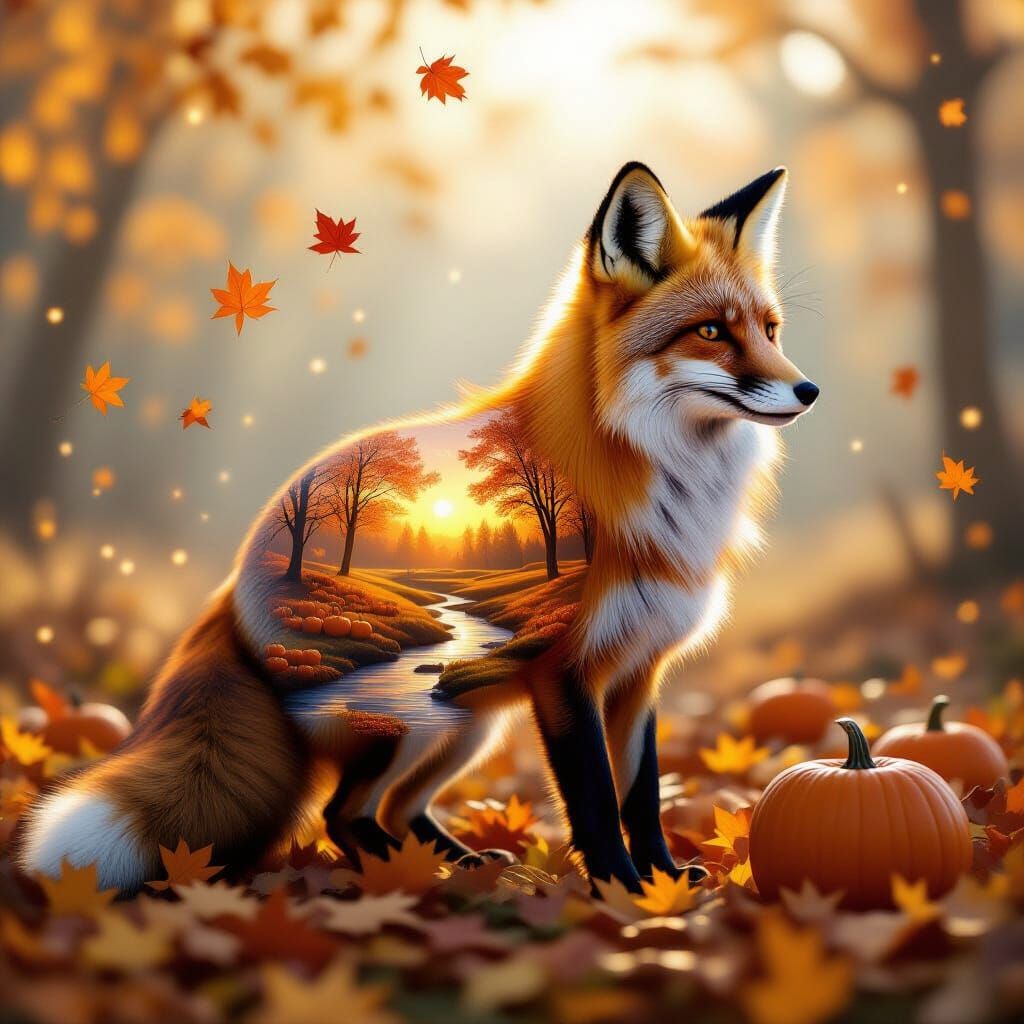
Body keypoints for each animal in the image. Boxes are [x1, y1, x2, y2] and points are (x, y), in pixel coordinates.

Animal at [20, 162, 818, 894]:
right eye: (711, 331)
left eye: (771, 330)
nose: (808, 390)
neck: (660, 483)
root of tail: (233, 584)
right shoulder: (564, 674)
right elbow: (594, 801)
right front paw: (621, 894)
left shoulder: (638, 672)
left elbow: (642, 797)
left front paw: (661, 883)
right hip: (411, 722)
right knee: (344, 812)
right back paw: (410, 880)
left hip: (467, 724)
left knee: (389, 812)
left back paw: (461, 870)